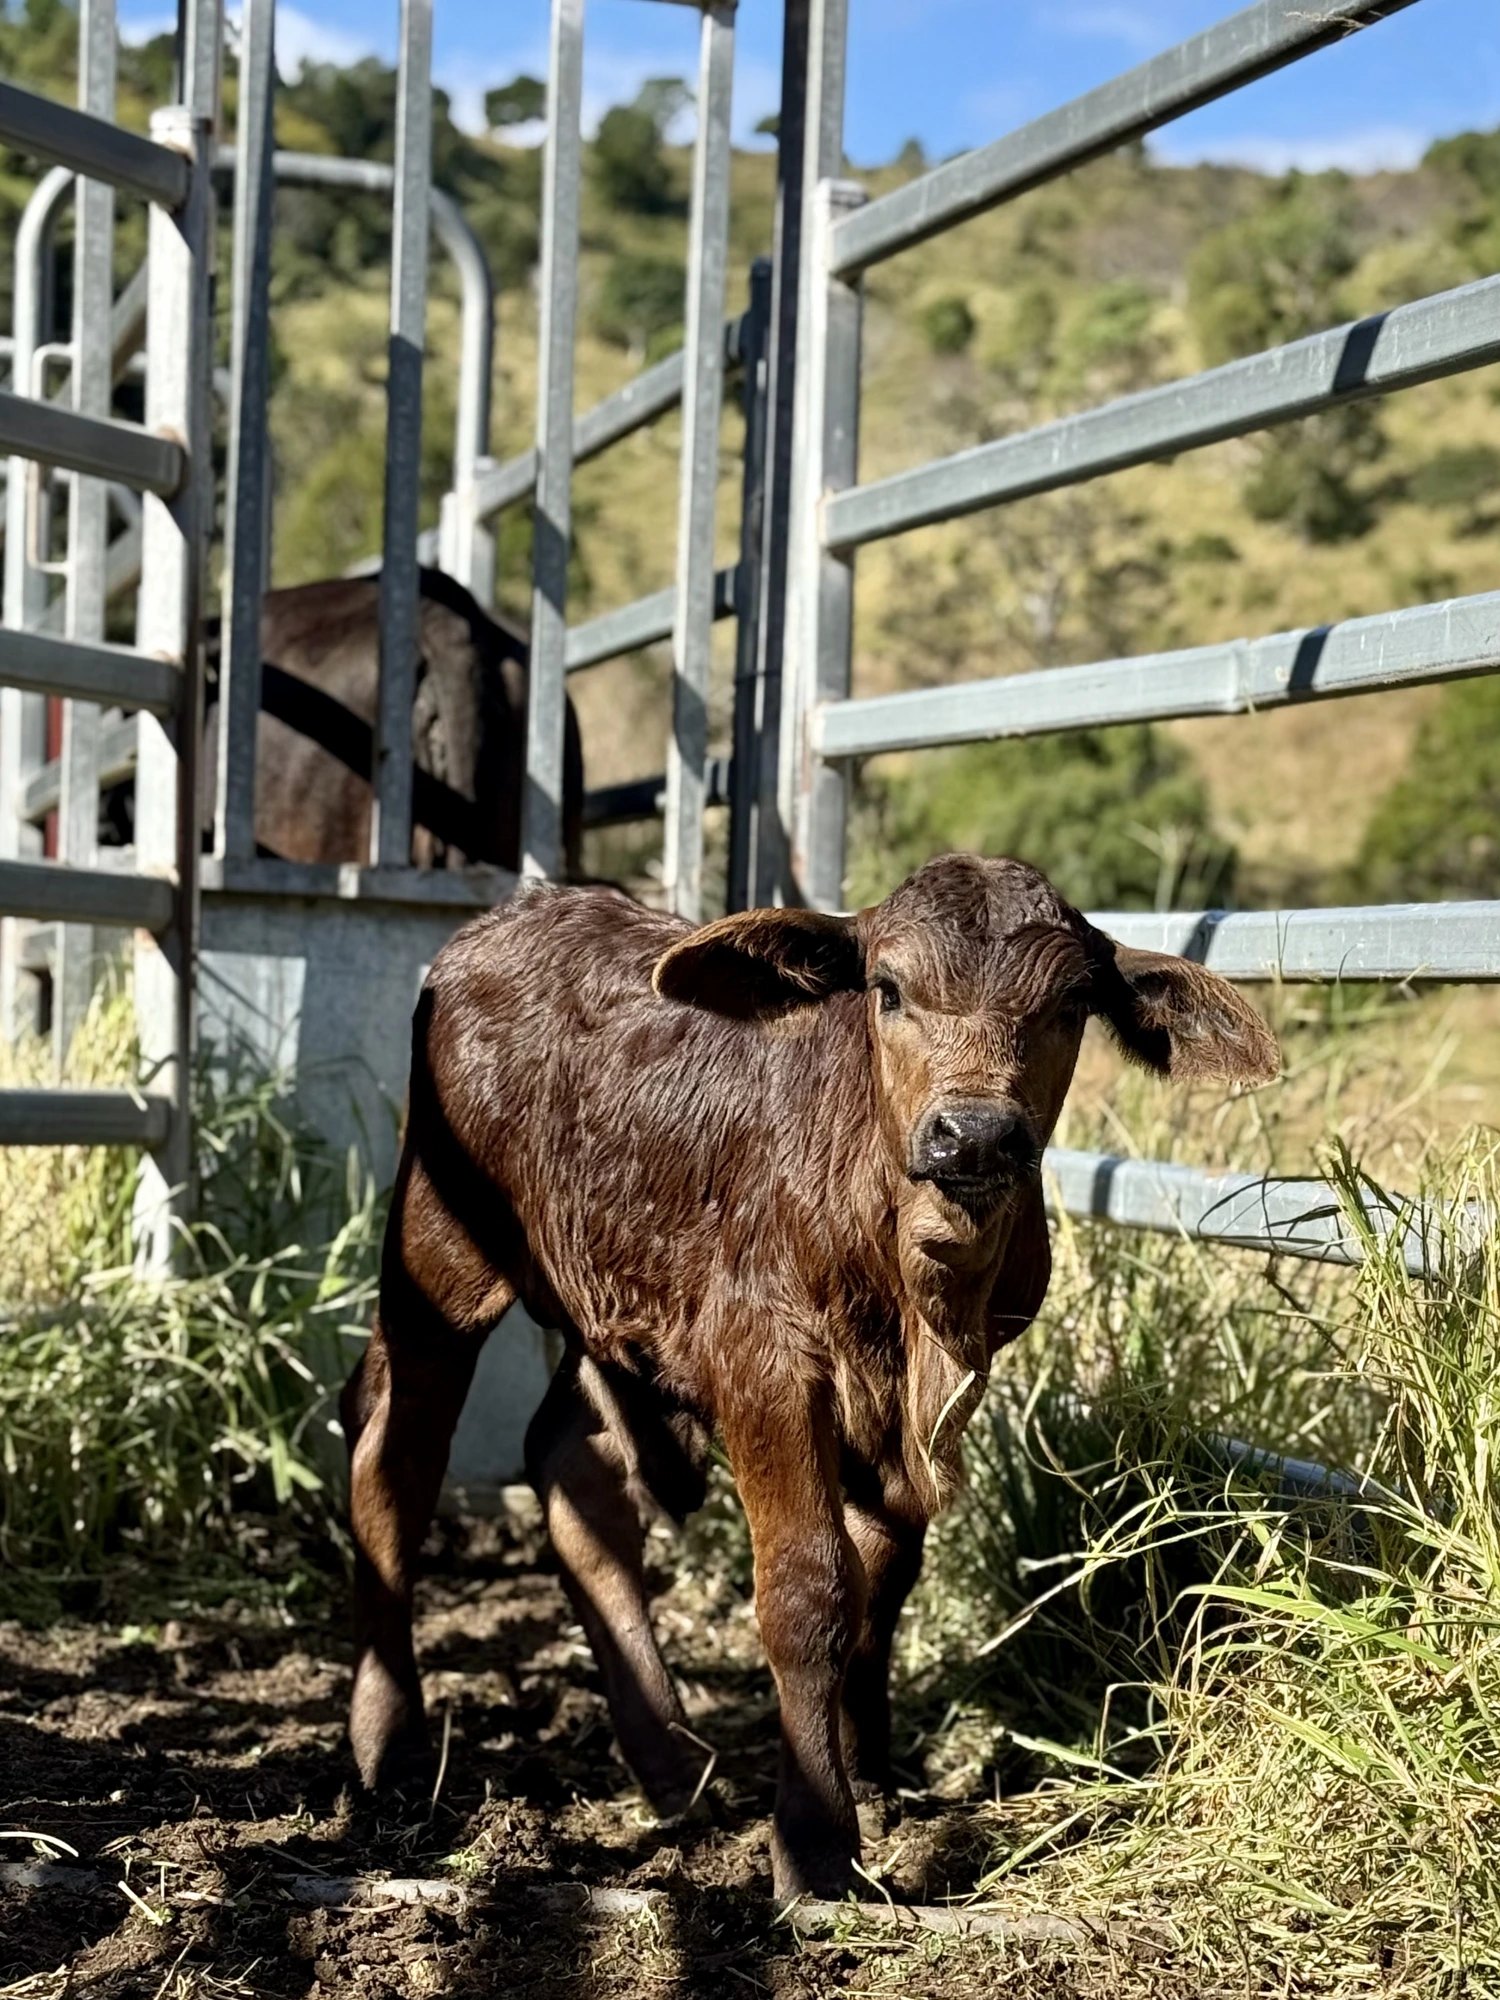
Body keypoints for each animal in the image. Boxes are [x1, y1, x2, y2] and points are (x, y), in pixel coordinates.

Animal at [339, 854, 1278, 1898]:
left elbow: (884, 1580)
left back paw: (671, 1763)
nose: (975, 1135)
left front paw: (870, 1773)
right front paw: (818, 1842)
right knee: (394, 1459)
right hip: (438, 1252)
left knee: (572, 1466)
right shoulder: (765, 1358)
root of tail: (516, 914)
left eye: (1072, 1003)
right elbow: (811, 1588)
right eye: (889, 989)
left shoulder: (931, 1402)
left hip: (608, 1289)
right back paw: (391, 1749)